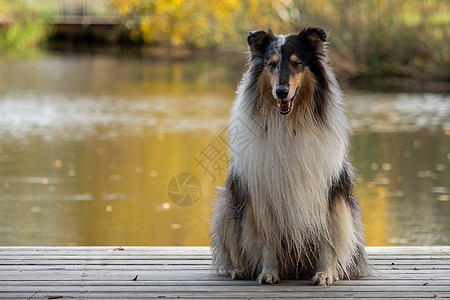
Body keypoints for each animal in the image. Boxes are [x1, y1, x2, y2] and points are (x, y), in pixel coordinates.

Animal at [209, 27, 370, 286]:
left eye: (297, 63)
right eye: (272, 64)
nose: (281, 92)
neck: (289, 124)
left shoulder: (327, 191)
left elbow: (327, 237)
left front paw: (325, 274)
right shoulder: (264, 193)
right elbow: (266, 238)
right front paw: (268, 273)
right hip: (227, 205)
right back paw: (242, 269)